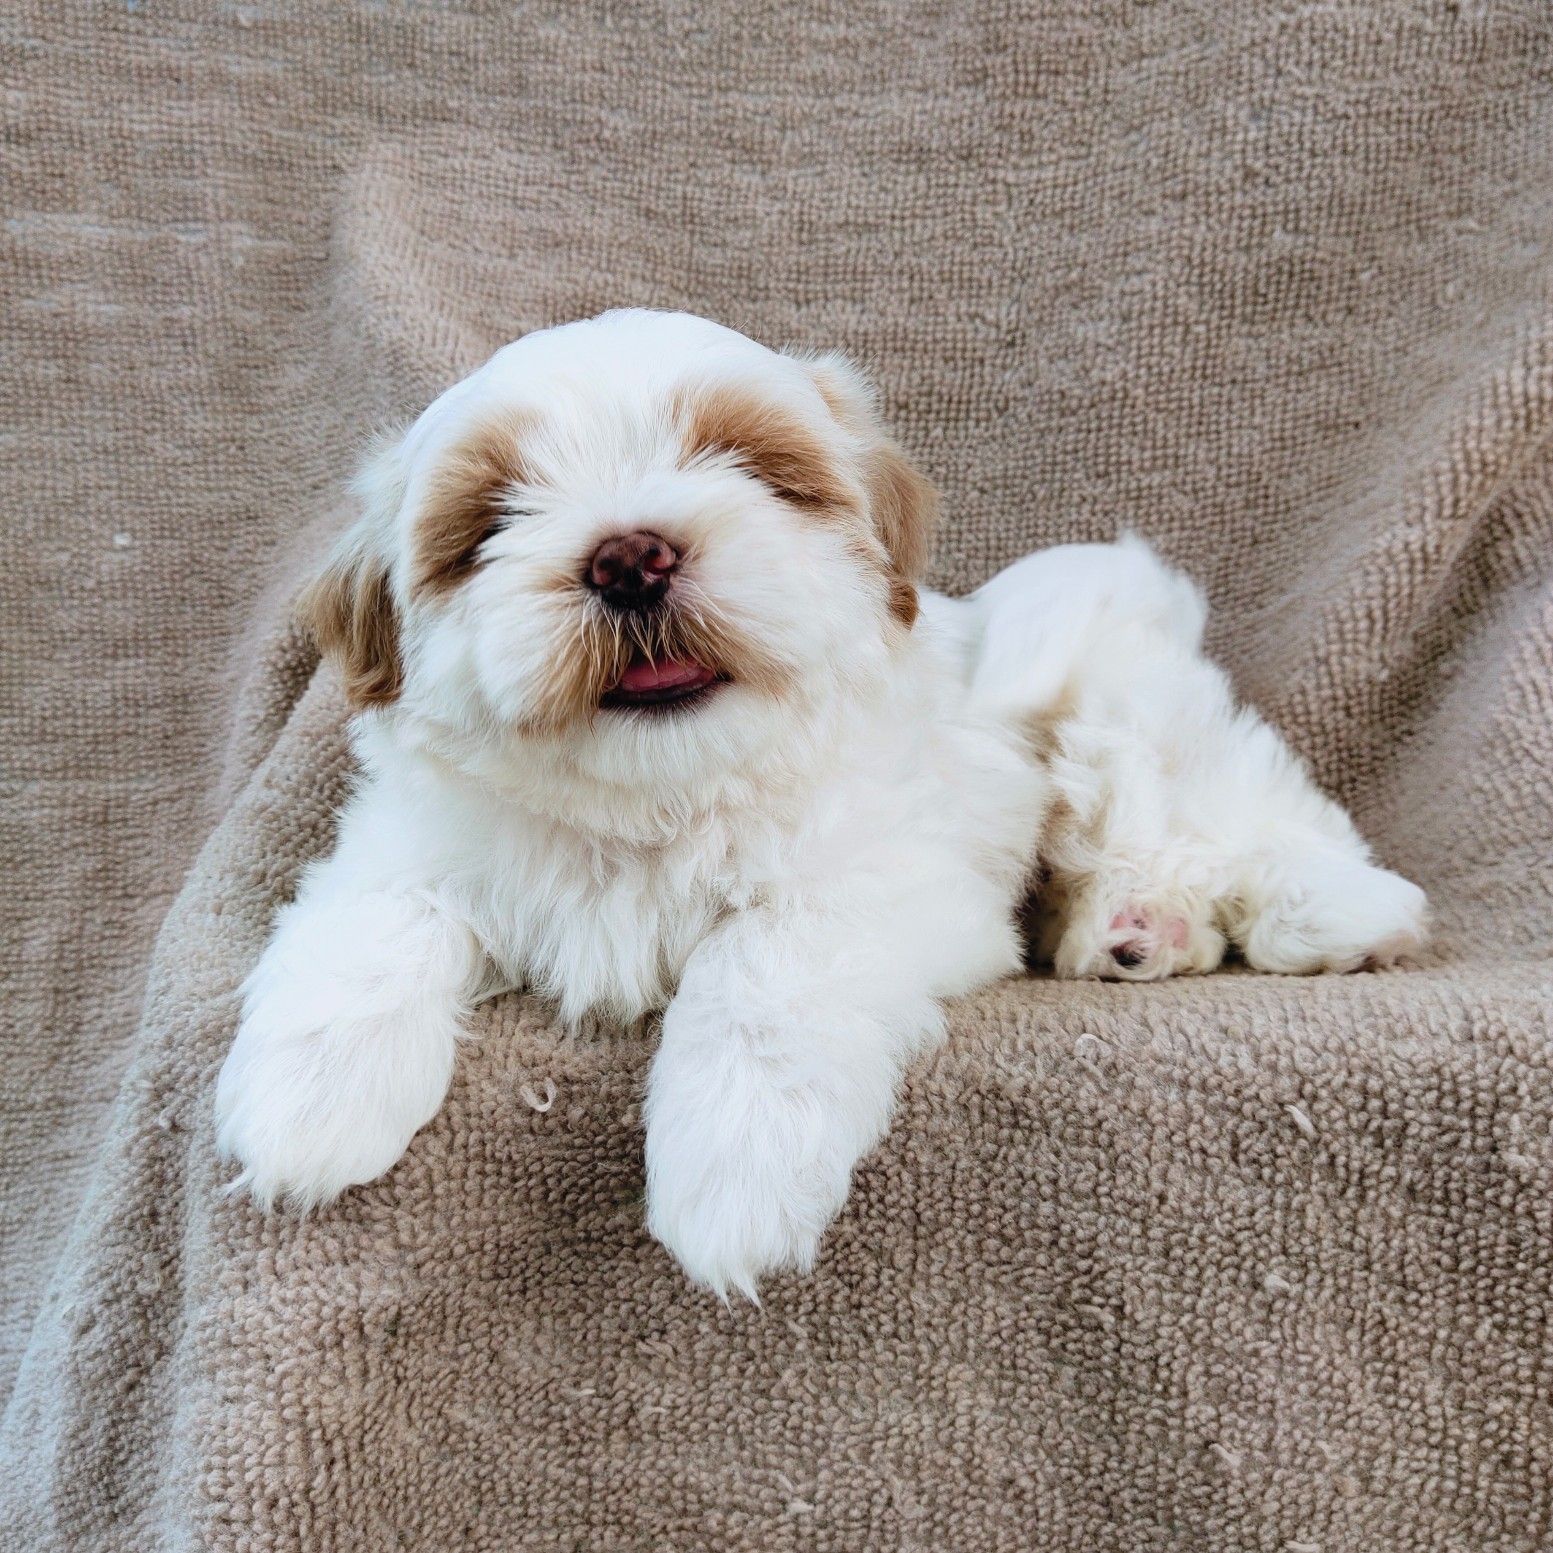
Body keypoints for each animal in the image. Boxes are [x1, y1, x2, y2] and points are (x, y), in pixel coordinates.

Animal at [216, 309, 1427, 1297]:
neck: (659, 798)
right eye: (491, 520)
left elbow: (767, 964)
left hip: (1108, 686)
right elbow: (372, 923)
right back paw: (1134, 934)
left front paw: (735, 1168)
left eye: (743, 463)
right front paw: (307, 1102)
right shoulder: (405, 845)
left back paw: (1328, 913)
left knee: (1224, 804)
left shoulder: (894, 878)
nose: (630, 556)